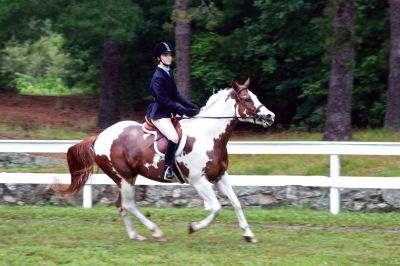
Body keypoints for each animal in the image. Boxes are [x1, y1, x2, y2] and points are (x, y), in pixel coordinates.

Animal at [54, 77, 276, 243]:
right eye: (246, 99)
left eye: (255, 97)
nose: (270, 116)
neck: (209, 135)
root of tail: (99, 136)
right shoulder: (199, 181)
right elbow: (216, 208)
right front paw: (193, 227)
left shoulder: (220, 177)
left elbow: (236, 203)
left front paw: (249, 235)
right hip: (124, 177)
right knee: (129, 204)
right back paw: (156, 232)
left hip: (126, 177)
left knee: (122, 205)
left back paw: (136, 236)